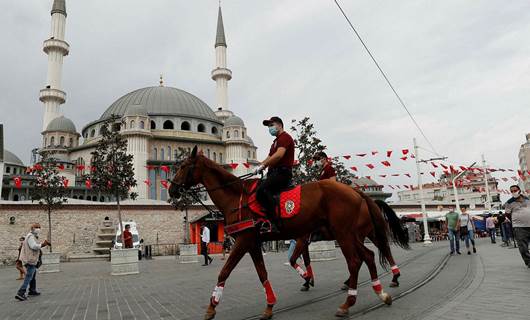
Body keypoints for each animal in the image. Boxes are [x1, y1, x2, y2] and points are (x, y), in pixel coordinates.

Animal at [167, 147, 390, 318]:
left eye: (183, 166)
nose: (172, 190)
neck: (236, 198)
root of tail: (355, 191)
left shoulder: (244, 241)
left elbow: (225, 271)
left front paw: (212, 307)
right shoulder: (253, 242)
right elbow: (262, 273)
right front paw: (270, 305)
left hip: (344, 234)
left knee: (355, 261)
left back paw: (349, 302)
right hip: (351, 234)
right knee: (369, 256)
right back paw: (381, 292)